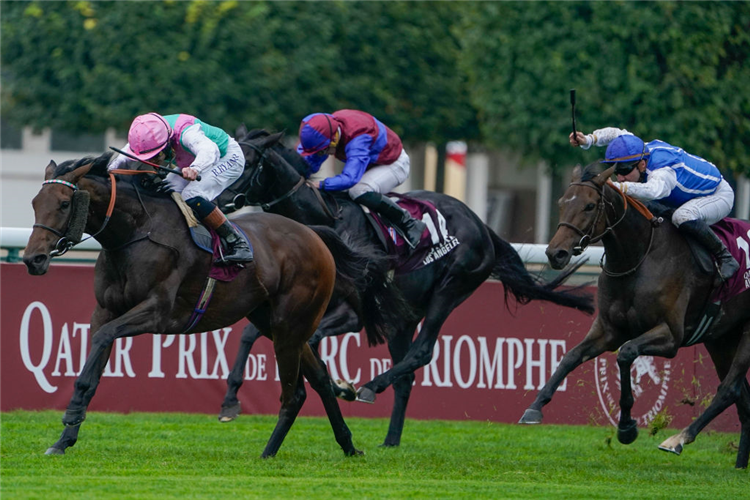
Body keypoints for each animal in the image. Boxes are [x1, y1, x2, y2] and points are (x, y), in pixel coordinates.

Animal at [23, 152, 400, 458]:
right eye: (35, 202)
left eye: (64, 204)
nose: (33, 259)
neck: (135, 233)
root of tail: (314, 234)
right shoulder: (104, 311)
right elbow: (94, 366)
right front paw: (63, 440)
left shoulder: (157, 312)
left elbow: (102, 342)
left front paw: (70, 416)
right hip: (277, 324)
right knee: (320, 378)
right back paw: (348, 445)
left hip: (291, 325)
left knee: (294, 394)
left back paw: (268, 452)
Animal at [214, 128, 596, 446]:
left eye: (246, 164)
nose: (216, 200)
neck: (324, 221)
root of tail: (481, 225)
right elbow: (250, 334)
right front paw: (230, 400)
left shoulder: (351, 314)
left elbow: (312, 339)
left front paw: (340, 384)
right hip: (404, 317)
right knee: (406, 374)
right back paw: (390, 438)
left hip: (450, 288)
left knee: (422, 352)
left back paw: (370, 387)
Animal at [524, 161, 750, 468]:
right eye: (561, 203)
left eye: (590, 205)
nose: (555, 253)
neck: (639, 257)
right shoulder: (608, 329)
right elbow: (570, 356)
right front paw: (535, 407)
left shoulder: (670, 336)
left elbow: (626, 353)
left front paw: (627, 427)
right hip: (722, 338)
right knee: (741, 396)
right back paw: (739, 464)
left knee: (728, 389)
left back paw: (677, 439)